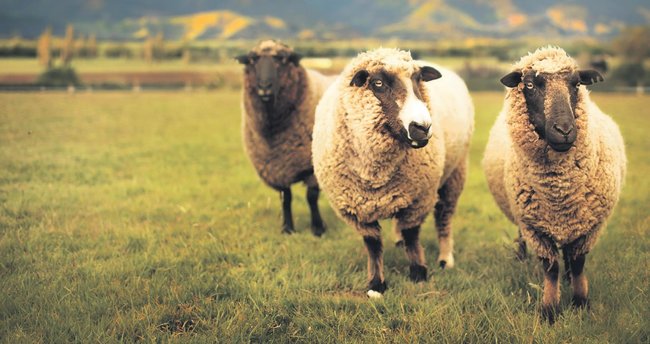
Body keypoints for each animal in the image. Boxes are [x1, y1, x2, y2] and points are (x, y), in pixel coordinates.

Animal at [235, 38, 334, 236]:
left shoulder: (312, 166)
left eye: (282, 59)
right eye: (252, 60)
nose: (264, 87)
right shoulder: (277, 168)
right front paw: (287, 228)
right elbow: (286, 199)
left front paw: (318, 228)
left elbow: (311, 197)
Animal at [310, 47, 470, 296]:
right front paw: (376, 285)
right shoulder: (356, 208)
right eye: (377, 83)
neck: (375, 174)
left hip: (455, 172)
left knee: (444, 216)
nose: (422, 127)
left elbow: (412, 234)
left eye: (418, 79)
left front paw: (418, 273)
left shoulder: (418, 198)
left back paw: (445, 259)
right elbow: (373, 244)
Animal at [480, 47, 624, 324]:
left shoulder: (588, 226)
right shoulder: (534, 227)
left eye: (576, 83)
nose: (564, 130)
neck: (559, 192)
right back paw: (521, 258)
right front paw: (549, 310)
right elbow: (550, 267)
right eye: (529, 84)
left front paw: (580, 302)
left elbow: (577, 263)